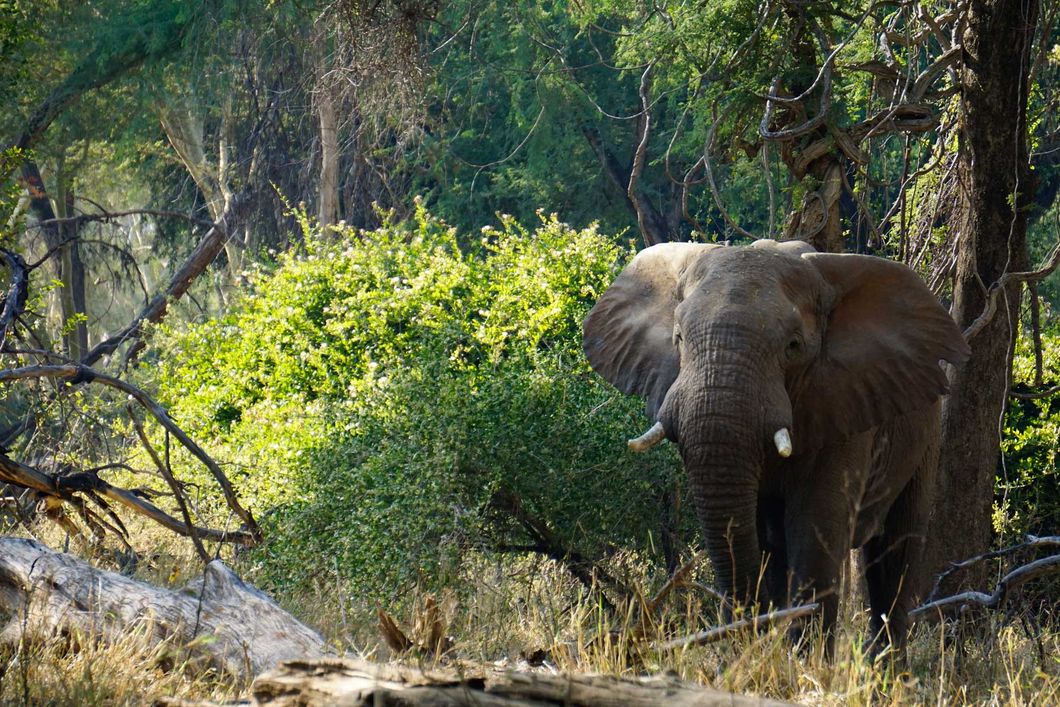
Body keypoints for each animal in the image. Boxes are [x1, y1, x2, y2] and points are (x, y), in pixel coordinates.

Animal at [582, 239, 970, 653]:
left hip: (924, 432)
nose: (749, 630)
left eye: (793, 346)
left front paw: (801, 661)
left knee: (895, 552)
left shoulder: (843, 399)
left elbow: (814, 531)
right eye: (679, 339)